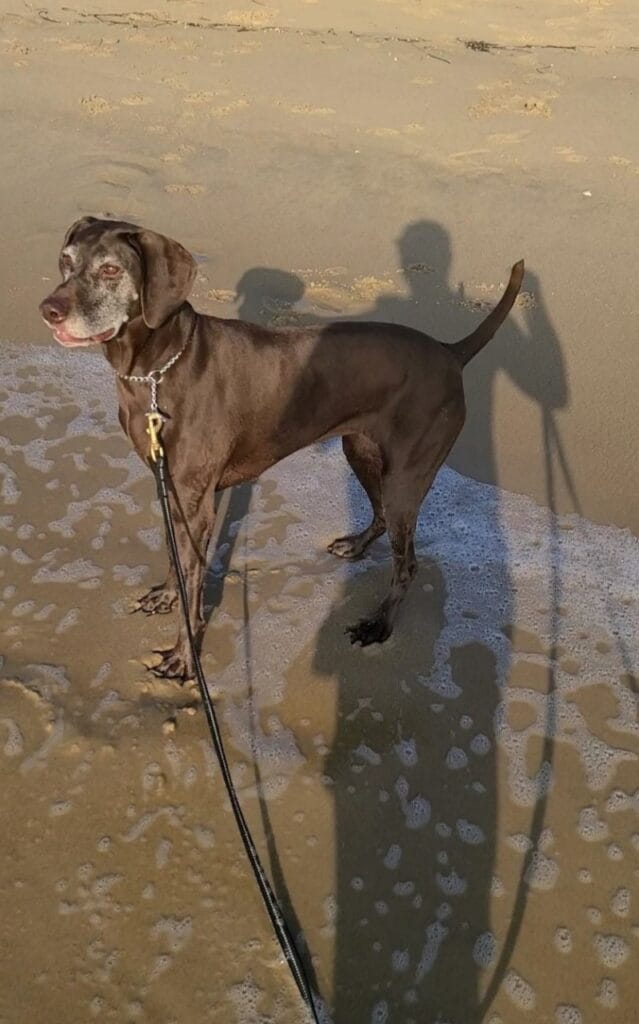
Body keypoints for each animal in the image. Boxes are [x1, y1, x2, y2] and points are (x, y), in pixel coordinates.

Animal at [40, 217, 523, 680]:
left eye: (110, 270)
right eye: (66, 260)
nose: (49, 311)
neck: (155, 370)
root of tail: (449, 352)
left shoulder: (196, 503)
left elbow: (193, 580)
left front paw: (182, 659)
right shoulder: (170, 488)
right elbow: (174, 557)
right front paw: (166, 596)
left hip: (405, 475)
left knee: (407, 563)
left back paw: (380, 625)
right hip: (362, 450)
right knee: (383, 516)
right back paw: (356, 545)